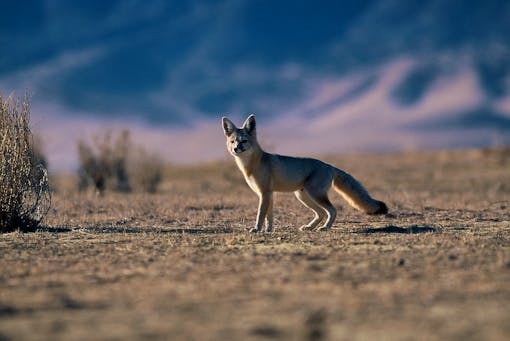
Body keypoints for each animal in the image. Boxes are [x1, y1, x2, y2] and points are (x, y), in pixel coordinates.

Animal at [222, 114, 386, 231]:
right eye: (233, 141)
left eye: (244, 141)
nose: (236, 149)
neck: (252, 165)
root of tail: (329, 165)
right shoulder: (269, 194)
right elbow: (269, 216)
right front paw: (268, 230)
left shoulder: (265, 193)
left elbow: (260, 214)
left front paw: (257, 229)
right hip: (303, 196)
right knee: (321, 212)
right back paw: (310, 227)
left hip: (315, 194)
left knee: (332, 210)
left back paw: (325, 228)